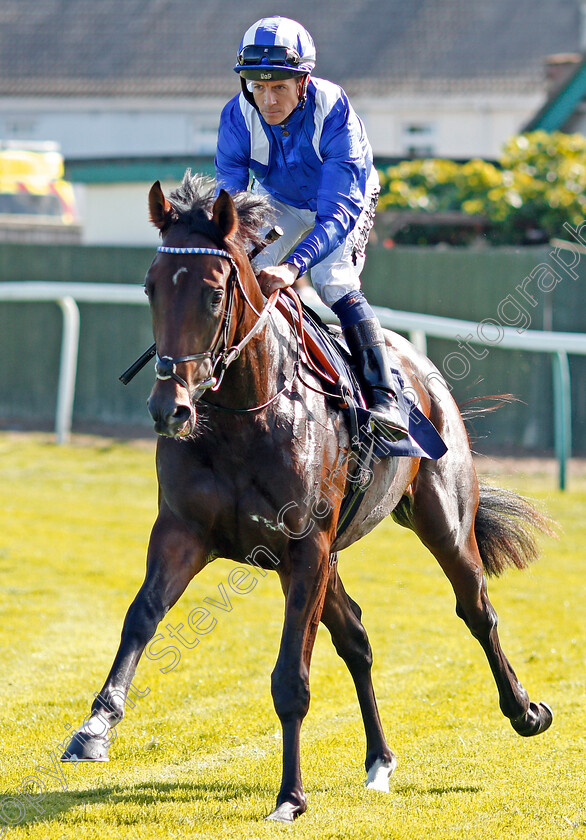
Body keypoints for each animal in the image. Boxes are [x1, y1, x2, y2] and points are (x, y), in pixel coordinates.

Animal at [62, 171, 552, 820]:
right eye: (150, 289)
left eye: (214, 294)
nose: (171, 409)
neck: (244, 415)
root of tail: (421, 367)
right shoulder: (185, 532)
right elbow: (141, 617)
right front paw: (95, 727)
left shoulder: (305, 546)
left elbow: (291, 677)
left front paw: (290, 795)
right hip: (318, 557)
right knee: (357, 639)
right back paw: (379, 760)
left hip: (441, 521)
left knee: (476, 608)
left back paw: (524, 711)